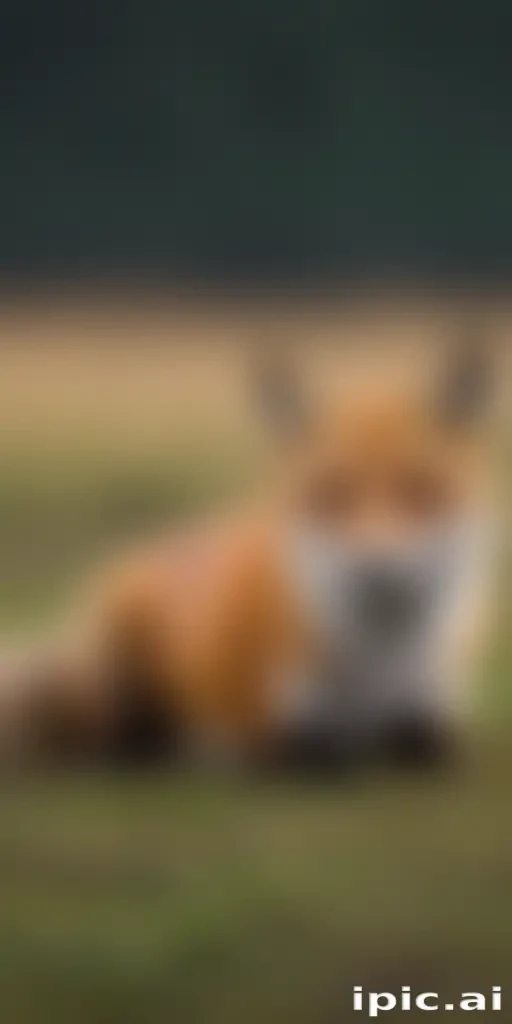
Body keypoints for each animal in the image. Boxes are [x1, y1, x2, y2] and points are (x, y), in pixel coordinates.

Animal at [0, 332, 497, 771]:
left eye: (421, 490)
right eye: (331, 494)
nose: (375, 570)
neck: (377, 668)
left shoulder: (431, 720)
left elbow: (424, 744)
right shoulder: (285, 731)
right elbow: (326, 753)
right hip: (119, 677)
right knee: (122, 740)